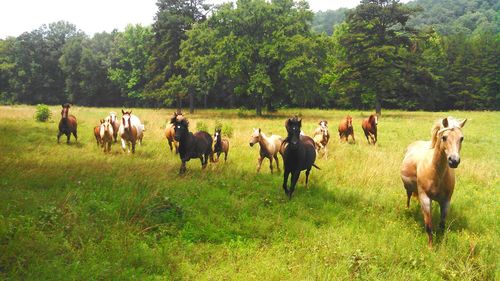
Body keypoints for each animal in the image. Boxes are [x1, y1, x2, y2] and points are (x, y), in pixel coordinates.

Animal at [400, 116, 466, 245]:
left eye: (461, 138)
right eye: (444, 137)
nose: (454, 161)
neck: (435, 172)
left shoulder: (446, 201)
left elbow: (442, 225)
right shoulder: (425, 198)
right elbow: (429, 226)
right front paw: (430, 246)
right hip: (409, 189)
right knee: (408, 196)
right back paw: (407, 209)